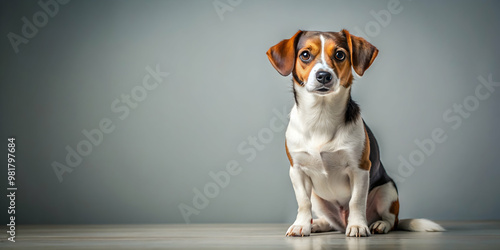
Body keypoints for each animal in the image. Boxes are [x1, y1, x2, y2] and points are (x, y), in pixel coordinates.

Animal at [266, 29, 446, 236]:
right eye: (305, 55)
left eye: (339, 54)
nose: (323, 75)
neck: (321, 116)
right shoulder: (297, 170)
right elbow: (303, 202)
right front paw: (301, 225)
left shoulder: (360, 169)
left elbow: (356, 201)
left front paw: (358, 226)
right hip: (319, 199)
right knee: (330, 222)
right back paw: (317, 224)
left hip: (387, 190)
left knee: (391, 220)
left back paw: (377, 225)